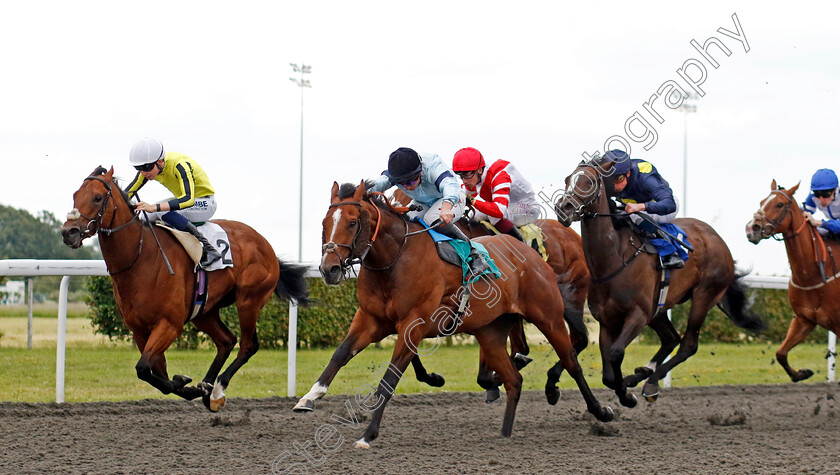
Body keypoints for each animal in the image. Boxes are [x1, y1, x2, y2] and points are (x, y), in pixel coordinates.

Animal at [60, 168, 308, 412]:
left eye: (97, 197)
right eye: (74, 195)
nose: (68, 232)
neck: (140, 258)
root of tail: (265, 244)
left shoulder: (169, 324)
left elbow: (144, 369)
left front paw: (188, 384)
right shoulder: (140, 331)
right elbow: (157, 375)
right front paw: (189, 386)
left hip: (249, 300)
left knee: (248, 345)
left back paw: (217, 390)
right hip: (204, 310)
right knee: (226, 341)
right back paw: (207, 386)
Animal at [294, 180, 612, 448]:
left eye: (351, 222)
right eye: (324, 223)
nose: (328, 269)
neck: (394, 260)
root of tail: (533, 254)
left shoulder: (413, 324)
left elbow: (389, 379)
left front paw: (368, 435)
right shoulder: (370, 319)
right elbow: (340, 354)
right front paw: (309, 397)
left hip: (549, 317)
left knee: (571, 361)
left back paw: (599, 411)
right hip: (491, 332)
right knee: (514, 378)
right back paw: (504, 433)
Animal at [556, 162, 764, 408]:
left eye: (591, 182)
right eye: (567, 179)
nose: (563, 207)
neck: (613, 259)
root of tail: (719, 241)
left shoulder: (638, 314)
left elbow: (616, 353)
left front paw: (627, 395)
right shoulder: (607, 321)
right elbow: (608, 375)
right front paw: (625, 387)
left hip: (704, 295)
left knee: (688, 345)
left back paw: (651, 382)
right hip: (659, 308)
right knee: (670, 339)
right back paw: (641, 373)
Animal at [748, 180, 840, 384]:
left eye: (779, 204)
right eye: (761, 202)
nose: (751, 228)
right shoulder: (803, 320)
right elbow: (780, 353)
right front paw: (801, 373)